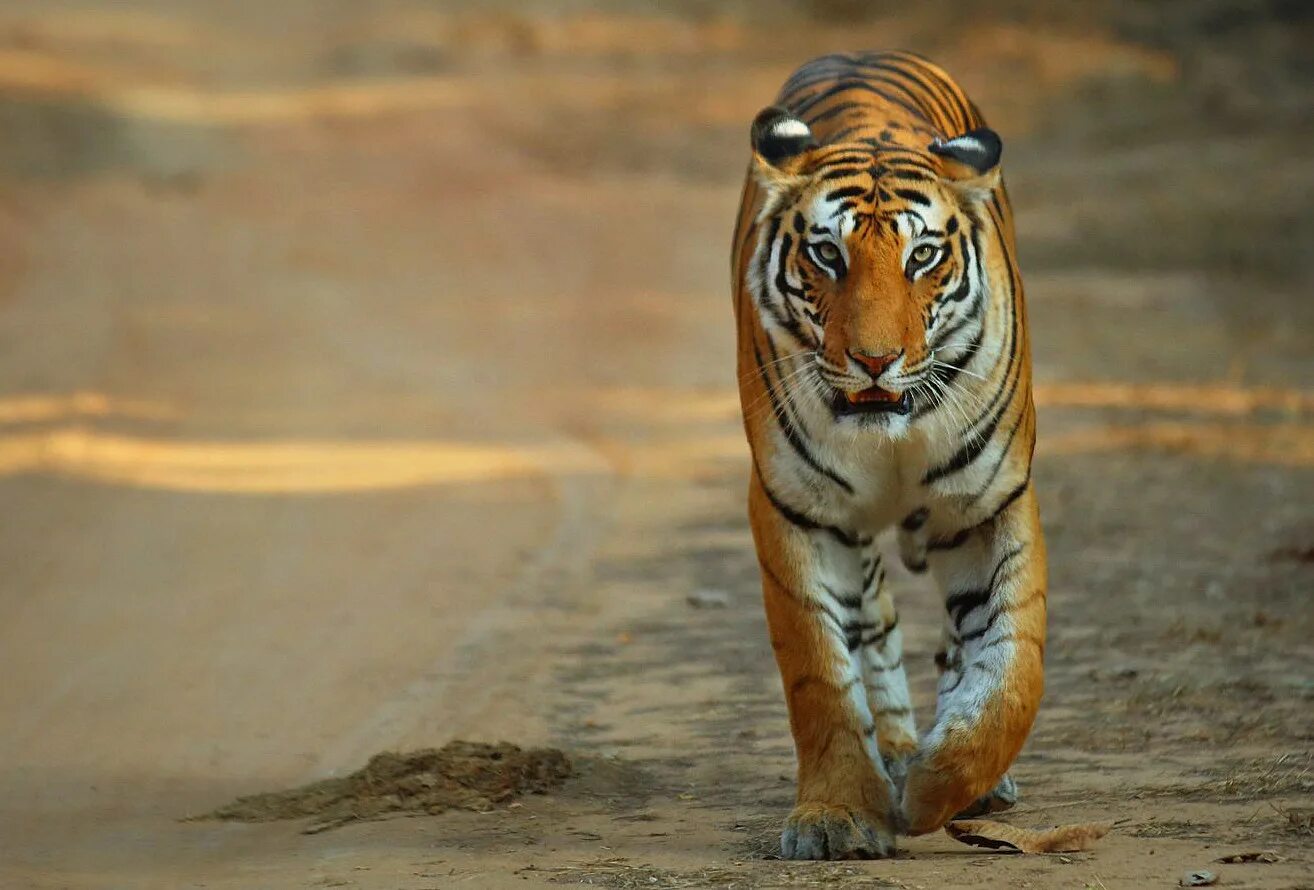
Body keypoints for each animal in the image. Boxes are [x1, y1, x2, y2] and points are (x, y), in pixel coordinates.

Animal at [730, 51, 1047, 860]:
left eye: (923, 256)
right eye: (827, 254)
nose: (875, 361)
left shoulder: (991, 501)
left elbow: (1013, 666)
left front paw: (943, 786)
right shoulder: (797, 508)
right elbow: (819, 673)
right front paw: (839, 814)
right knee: (871, 625)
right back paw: (898, 751)